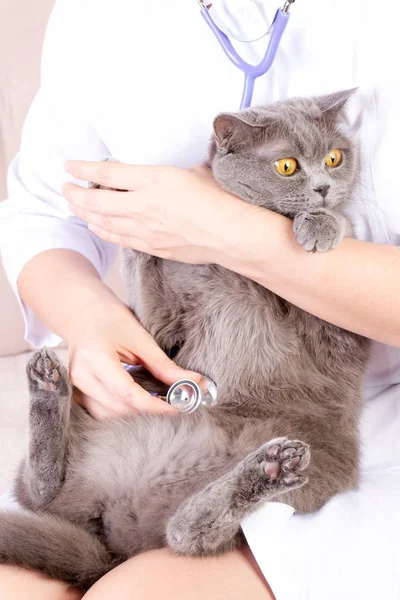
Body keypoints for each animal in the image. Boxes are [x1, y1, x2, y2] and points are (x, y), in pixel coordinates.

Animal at [0, 90, 370, 592]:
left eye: (334, 158)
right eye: (288, 166)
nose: (323, 188)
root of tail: (119, 538)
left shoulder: (332, 334)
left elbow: (342, 236)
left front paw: (322, 224)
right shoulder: (163, 324)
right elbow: (145, 289)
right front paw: (119, 200)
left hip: (320, 464)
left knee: (188, 535)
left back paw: (271, 467)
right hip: (98, 422)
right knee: (41, 493)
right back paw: (47, 385)